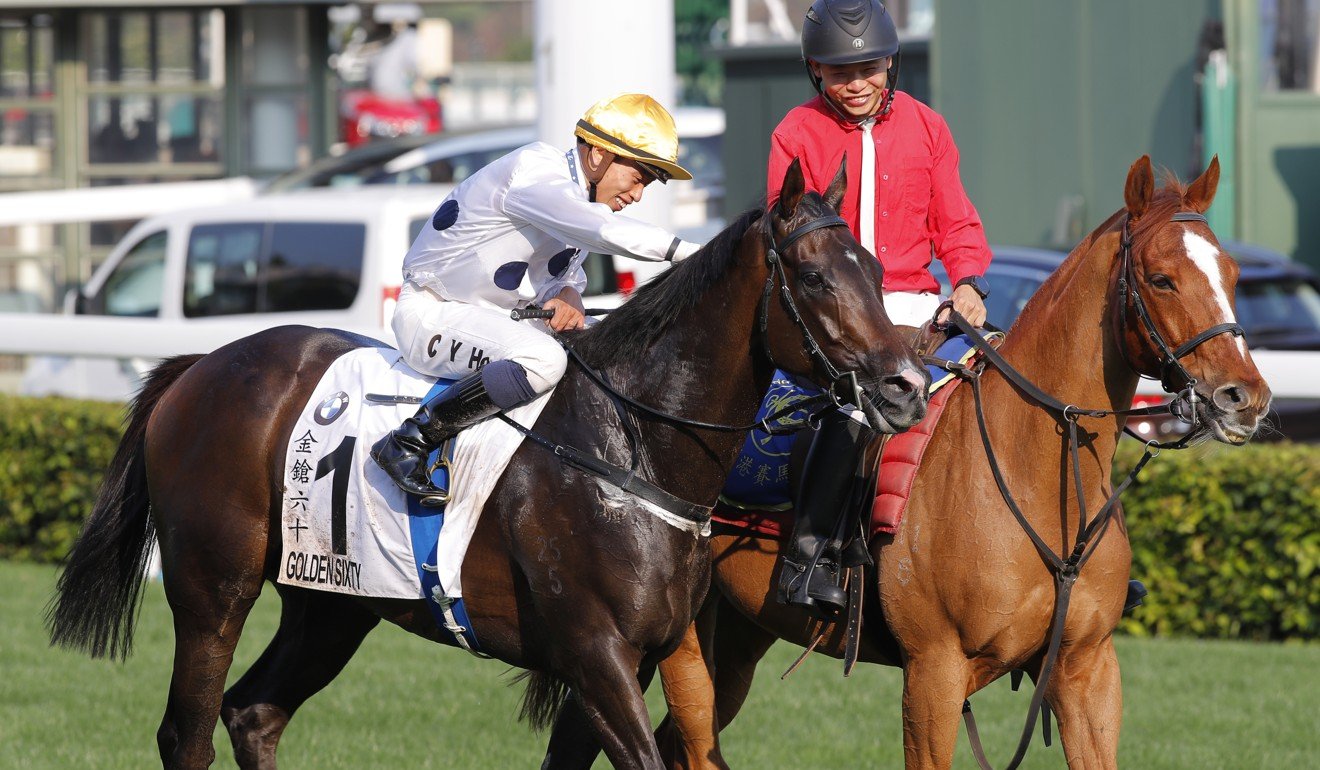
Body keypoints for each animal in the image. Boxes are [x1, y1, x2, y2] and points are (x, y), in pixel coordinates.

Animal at [43, 159, 929, 766]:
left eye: (879, 271)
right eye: (814, 276)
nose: (906, 387)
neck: (633, 449)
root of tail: (200, 366)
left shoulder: (648, 651)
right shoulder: (596, 652)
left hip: (331, 602)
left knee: (255, 714)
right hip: (212, 592)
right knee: (185, 732)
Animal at [646, 153, 1267, 766]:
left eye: (1233, 275)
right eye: (1162, 279)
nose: (1245, 397)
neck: (1038, 480)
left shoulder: (1087, 670)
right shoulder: (934, 675)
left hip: (738, 635)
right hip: (684, 643)